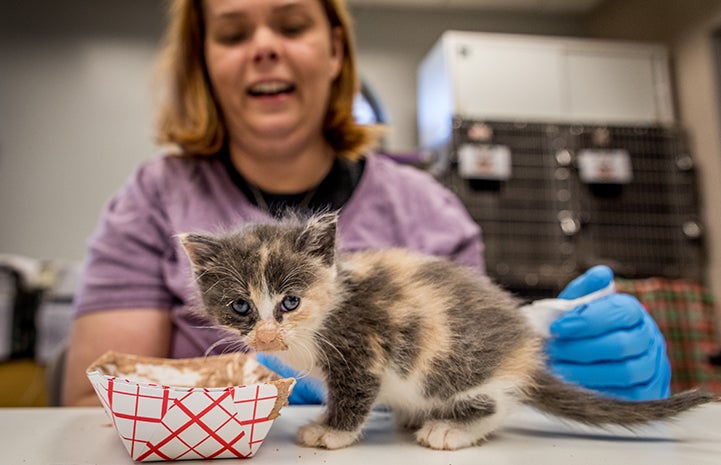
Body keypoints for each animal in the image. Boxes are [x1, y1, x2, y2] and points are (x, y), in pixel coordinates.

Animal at [179, 213, 708, 450]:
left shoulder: (362, 347)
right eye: (241, 306)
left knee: (495, 403)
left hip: (452, 367)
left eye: (290, 301)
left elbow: (355, 393)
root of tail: (526, 351)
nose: (267, 338)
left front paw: (332, 432)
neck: (326, 314)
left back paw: (449, 429)